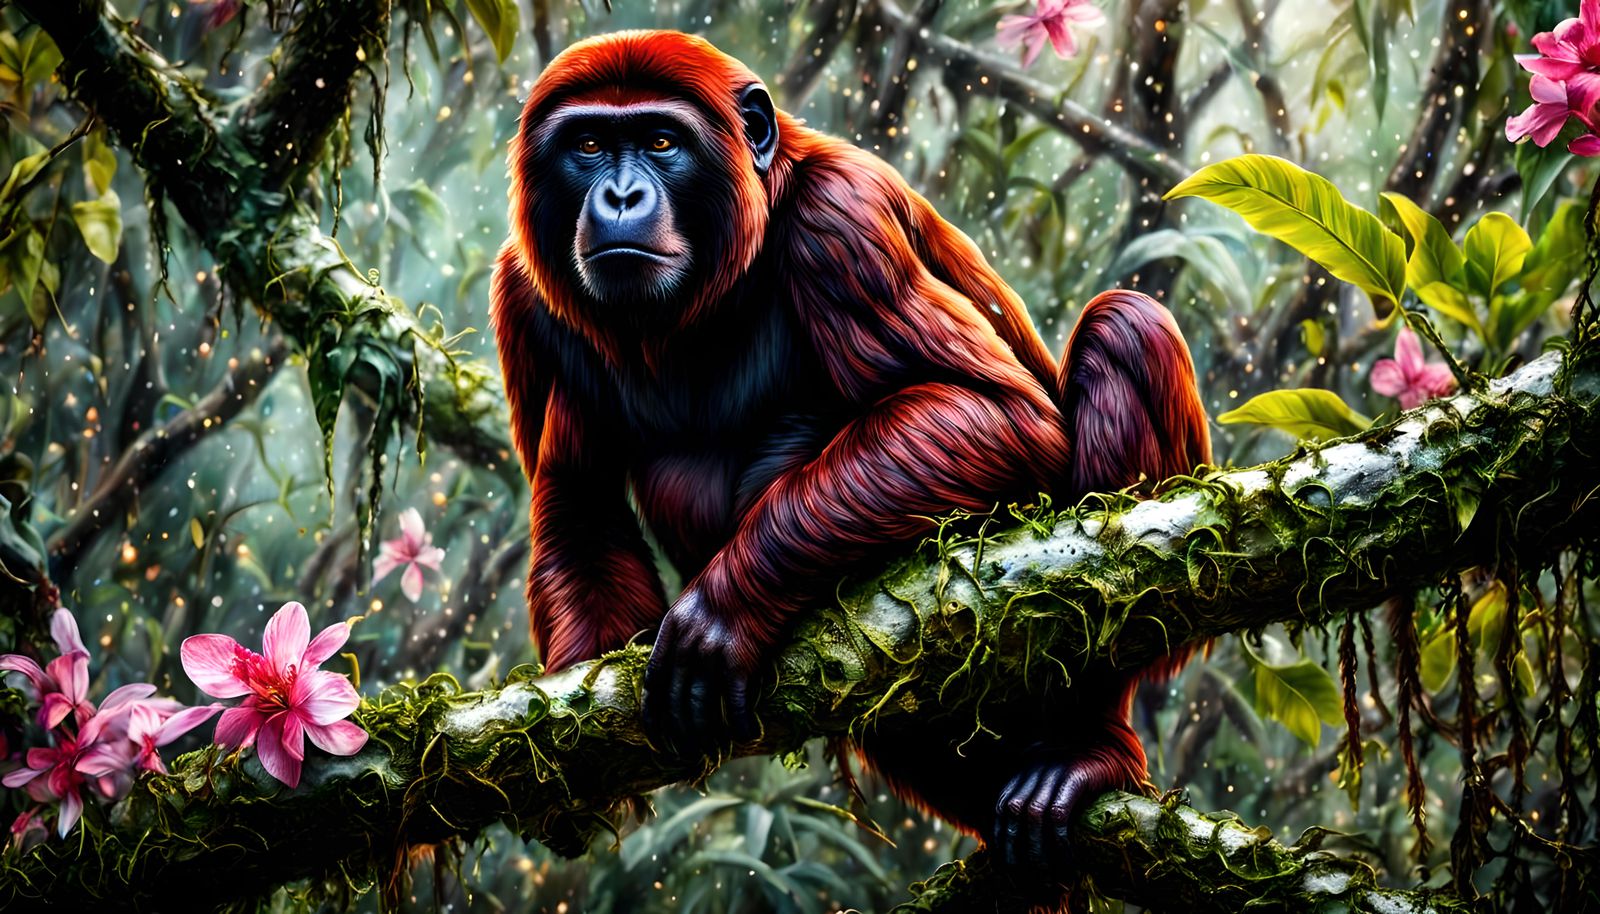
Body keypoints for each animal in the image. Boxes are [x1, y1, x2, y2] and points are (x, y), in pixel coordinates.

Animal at [490, 29, 1211, 878]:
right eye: (590, 145)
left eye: (662, 142)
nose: (622, 196)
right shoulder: (522, 295)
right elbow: (580, 510)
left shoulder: (842, 219)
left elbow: (997, 412)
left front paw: (724, 606)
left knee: (1125, 327)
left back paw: (1085, 748)